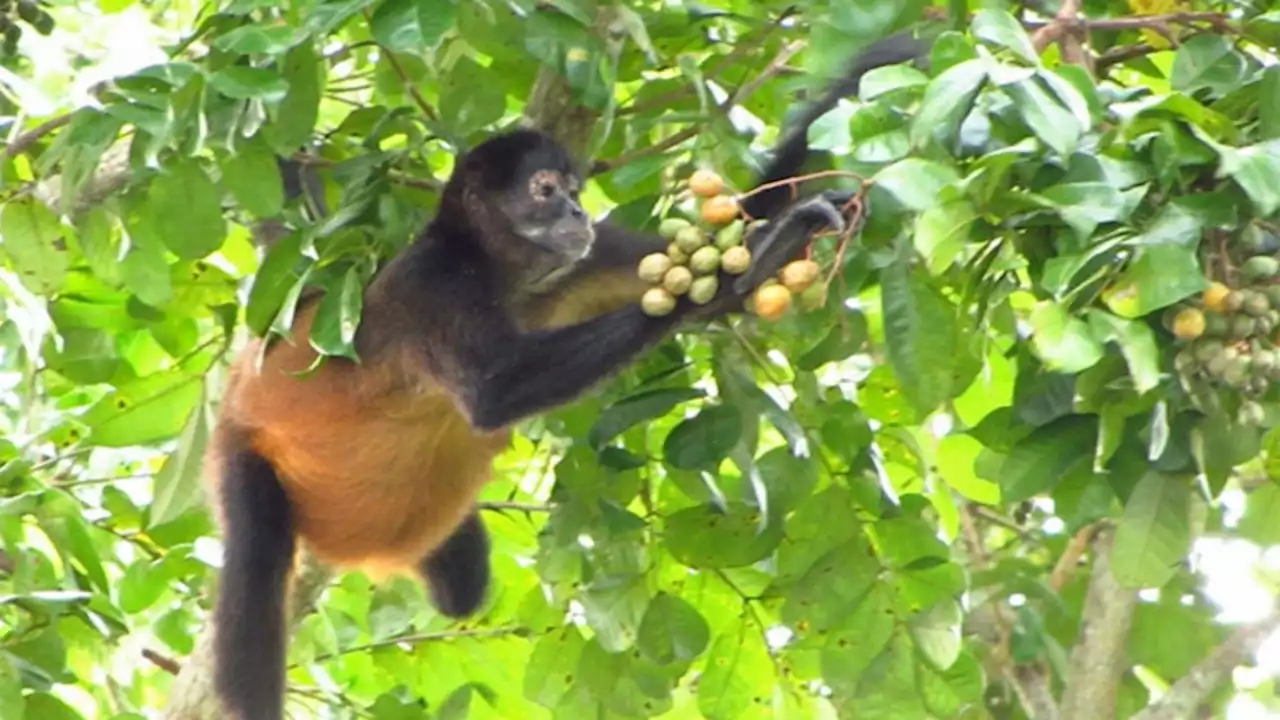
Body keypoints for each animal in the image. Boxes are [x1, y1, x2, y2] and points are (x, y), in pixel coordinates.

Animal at [207, 28, 931, 717]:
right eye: (545, 191)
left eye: (575, 192)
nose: (577, 212)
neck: (503, 280)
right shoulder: (432, 285)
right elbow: (496, 394)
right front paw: (741, 273)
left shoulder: (585, 257)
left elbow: (739, 217)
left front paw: (883, 61)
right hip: (246, 456)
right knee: (256, 568)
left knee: (460, 583)